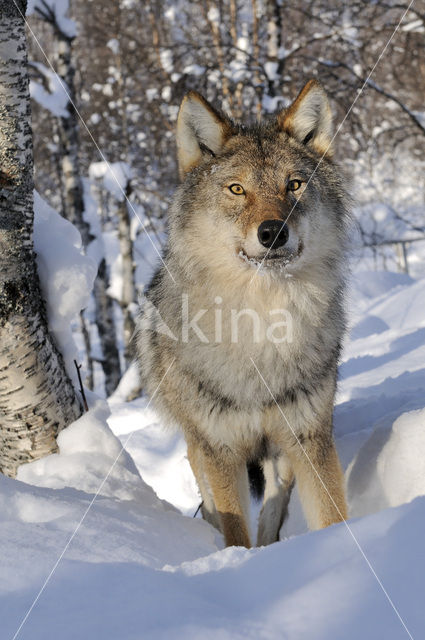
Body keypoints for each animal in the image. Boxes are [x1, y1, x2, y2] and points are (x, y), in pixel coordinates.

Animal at [135, 80, 348, 548]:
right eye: (237, 190)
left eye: (294, 185)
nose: (273, 232)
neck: (261, 322)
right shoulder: (219, 448)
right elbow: (234, 527)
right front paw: (235, 558)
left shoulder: (308, 436)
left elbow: (332, 515)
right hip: (198, 443)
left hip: (280, 452)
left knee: (274, 501)